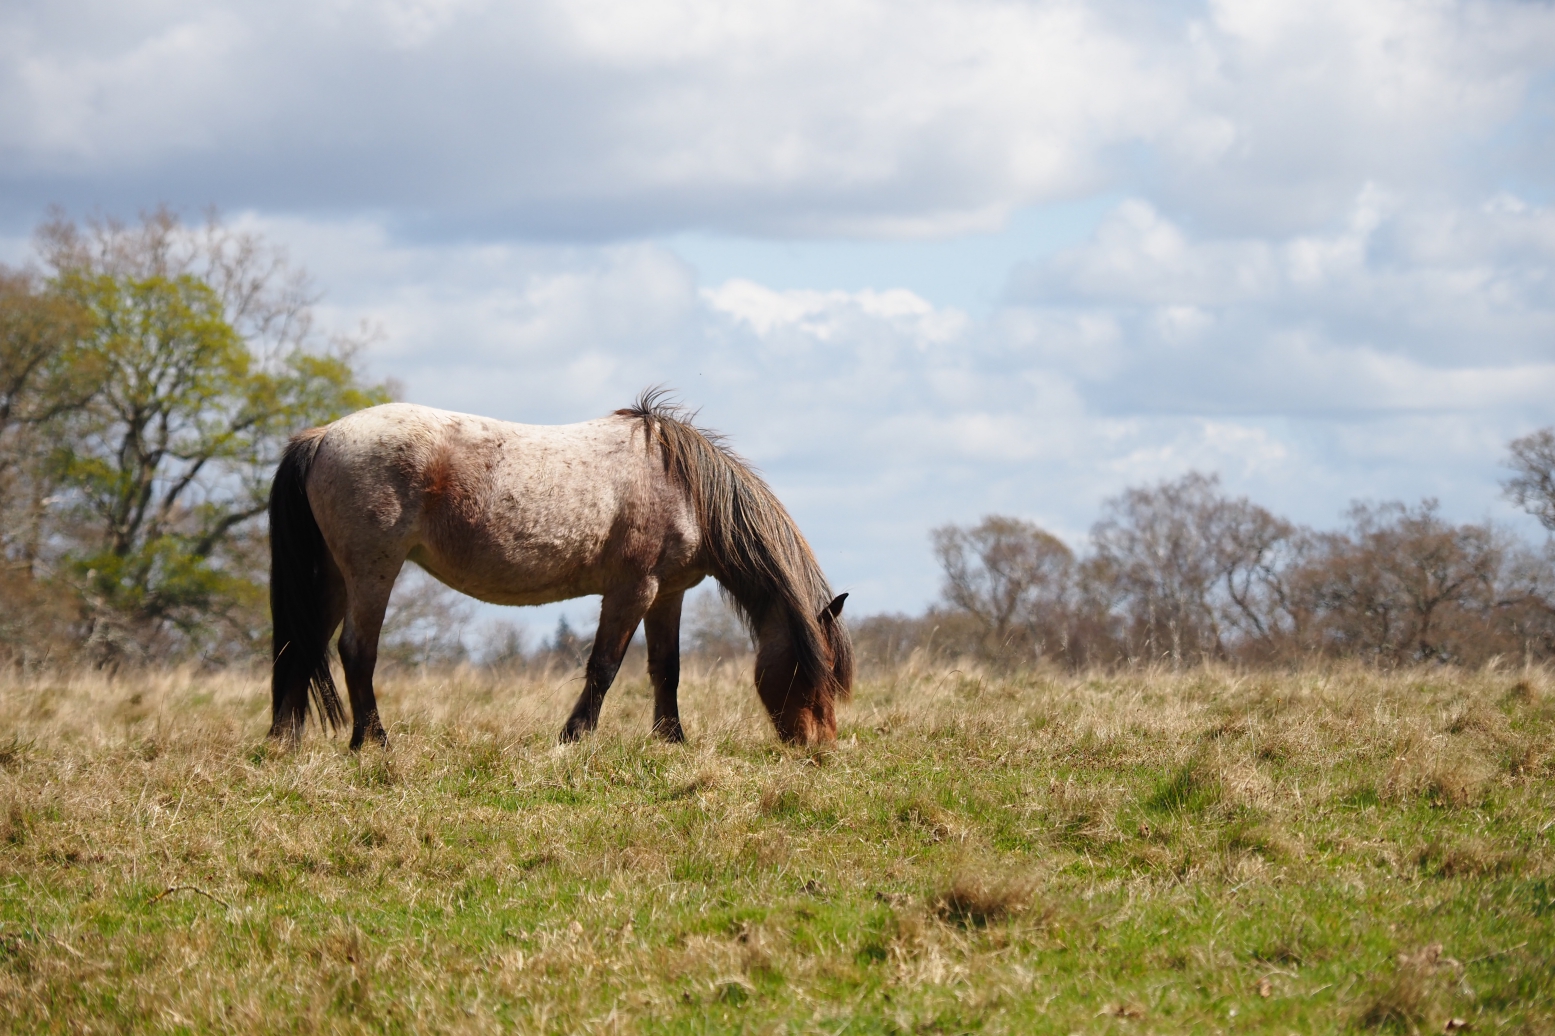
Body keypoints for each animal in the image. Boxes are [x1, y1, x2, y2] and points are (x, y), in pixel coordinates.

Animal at [267, 391, 853, 749]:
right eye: (816, 669)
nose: (820, 748)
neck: (683, 486)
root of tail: (322, 436)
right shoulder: (633, 589)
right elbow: (605, 667)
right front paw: (573, 738)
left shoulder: (668, 595)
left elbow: (667, 669)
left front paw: (672, 741)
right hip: (373, 571)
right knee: (356, 652)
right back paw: (374, 743)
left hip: (334, 576)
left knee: (303, 645)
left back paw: (285, 742)